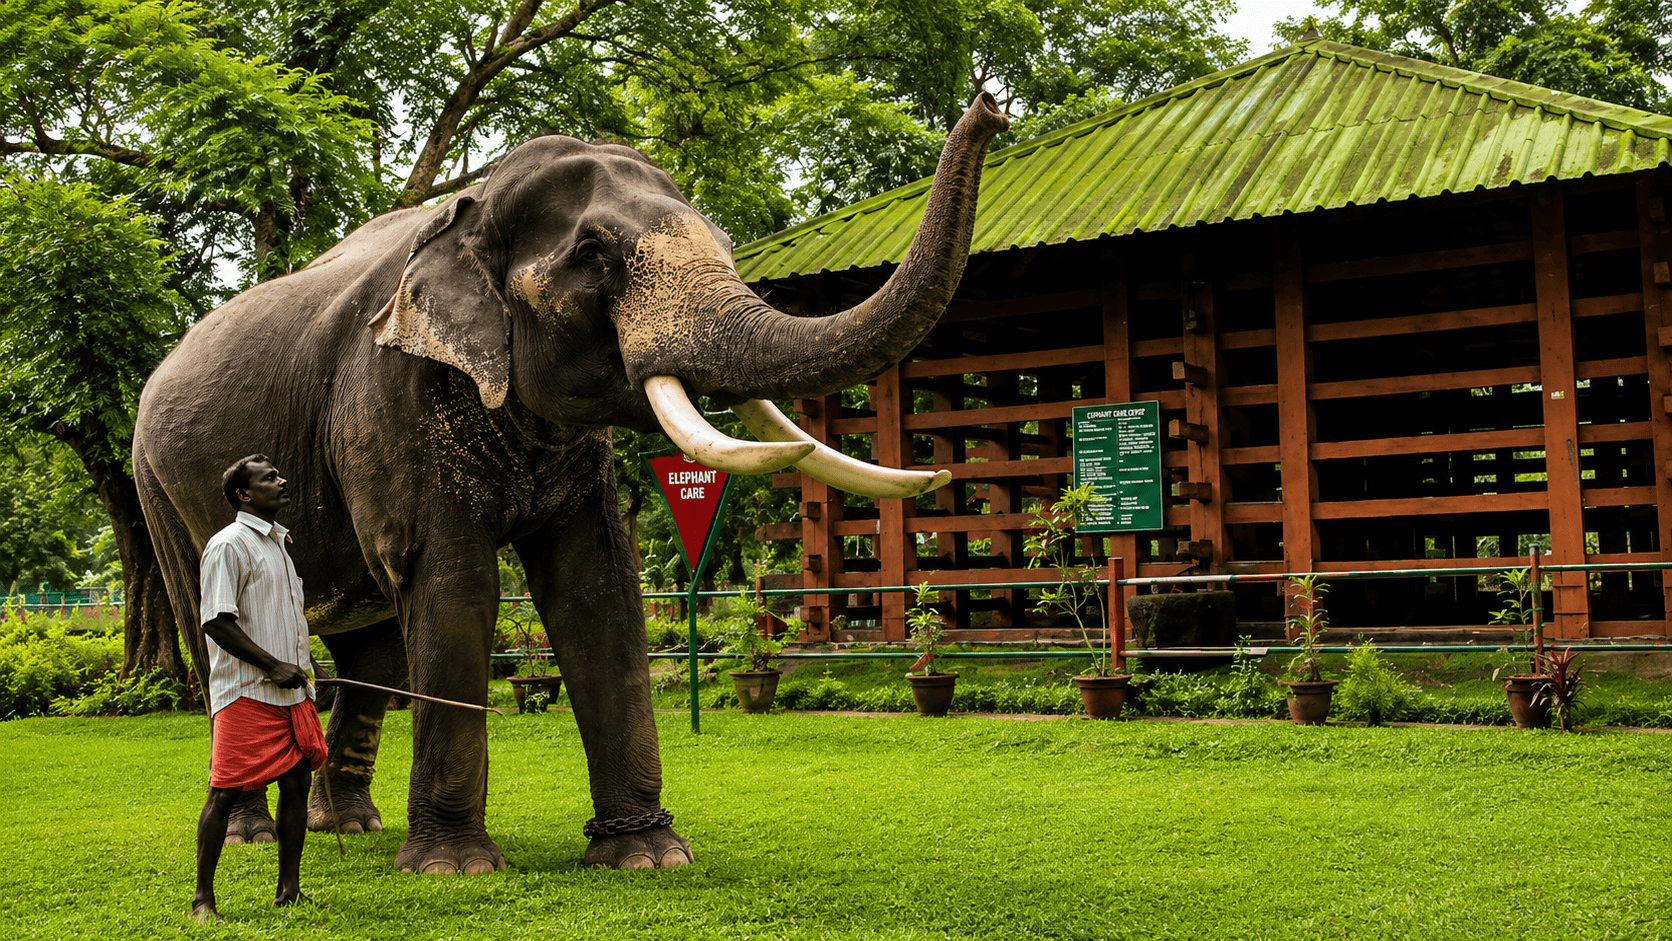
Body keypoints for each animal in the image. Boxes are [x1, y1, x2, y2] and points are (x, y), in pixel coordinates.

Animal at [133, 93, 1008, 874]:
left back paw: (349, 826)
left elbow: (597, 586)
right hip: (158, 487)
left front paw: (647, 855)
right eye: (595, 257)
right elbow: (453, 582)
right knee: (219, 628)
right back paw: (250, 833)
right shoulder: (385, 399)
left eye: (728, 244)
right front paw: (455, 869)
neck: (467, 211)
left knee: (372, 648)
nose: (990, 108)